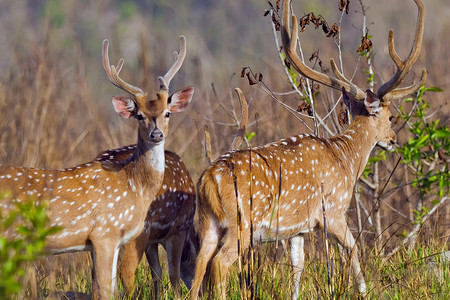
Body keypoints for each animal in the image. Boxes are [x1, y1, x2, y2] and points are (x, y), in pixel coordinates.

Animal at [0, 35, 193, 298]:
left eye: (167, 113)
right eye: (139, 116)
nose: (156, 135)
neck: (134, 185)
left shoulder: (107, 241)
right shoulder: (105, 233)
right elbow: (105, 289)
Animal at [189, 0, 426, 298]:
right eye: (391, 116)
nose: (394, 140)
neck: (346, 160)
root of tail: (209, 179)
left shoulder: (297, 230)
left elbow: (297, 268)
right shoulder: (332, 211)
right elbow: (353, 250)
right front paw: (364, 291)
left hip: (206, 223)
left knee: (198, 267)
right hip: (243, 222)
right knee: (219, 264)